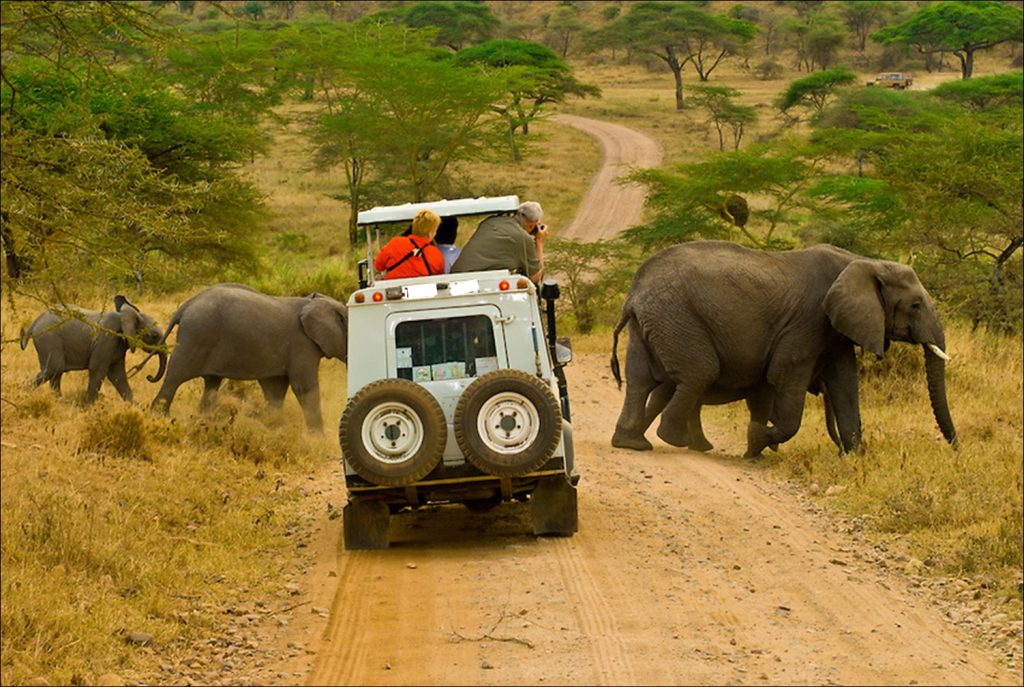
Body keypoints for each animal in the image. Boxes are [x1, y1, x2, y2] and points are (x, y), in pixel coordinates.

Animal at [19, 294, 167, 403]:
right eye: (154, 335)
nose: (149, 377)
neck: (124, 317)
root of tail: (35, 323)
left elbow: (118, 375)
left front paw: (136, 409)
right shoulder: (106, 340)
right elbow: (98, 369)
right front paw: (89, 408)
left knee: (55, 373)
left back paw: (58, 401)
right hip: (49, 339)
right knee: (53, 369)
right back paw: (24, 394)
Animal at [148, 282, 348, 432]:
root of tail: (186, 305)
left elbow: (275, 390)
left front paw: (274, 428)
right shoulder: (302, 345)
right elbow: (304, 388)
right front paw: (318, 439)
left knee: (211, 384)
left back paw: (204, 421)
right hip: (195, 336)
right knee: (175, 377)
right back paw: (161, 419)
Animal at [602, 241, 954, 456]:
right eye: (915, 305)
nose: (954, 449)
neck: (863, 261)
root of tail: (634, 291)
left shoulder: (836, 330)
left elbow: (844, 384)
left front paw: (856, 458)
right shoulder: (808, 321)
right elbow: (784, 378)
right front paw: (756, 440)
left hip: (653, 321)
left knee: (642, 380)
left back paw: (632, 443)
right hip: (677, 317)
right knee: (697, 373)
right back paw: (674, 441)